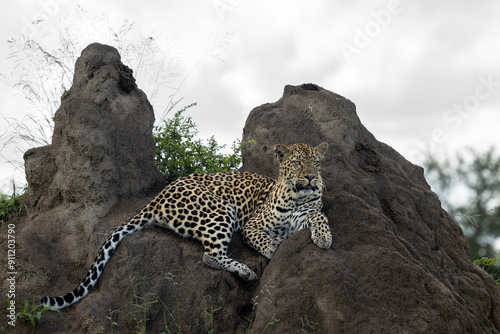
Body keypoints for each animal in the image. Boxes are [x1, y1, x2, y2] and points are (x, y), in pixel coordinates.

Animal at [41, 142, 332, 310]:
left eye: (316, 162)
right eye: (298, 162)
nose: (310, 177)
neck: (296, 195)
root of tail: (158, 195)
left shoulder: (306, 215)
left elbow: (320, 217)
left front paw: (324, 238)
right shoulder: (252, 225)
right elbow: (262, 238)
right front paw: (273, 247)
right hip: (220, 211)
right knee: (210, 255)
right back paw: (246, 271)